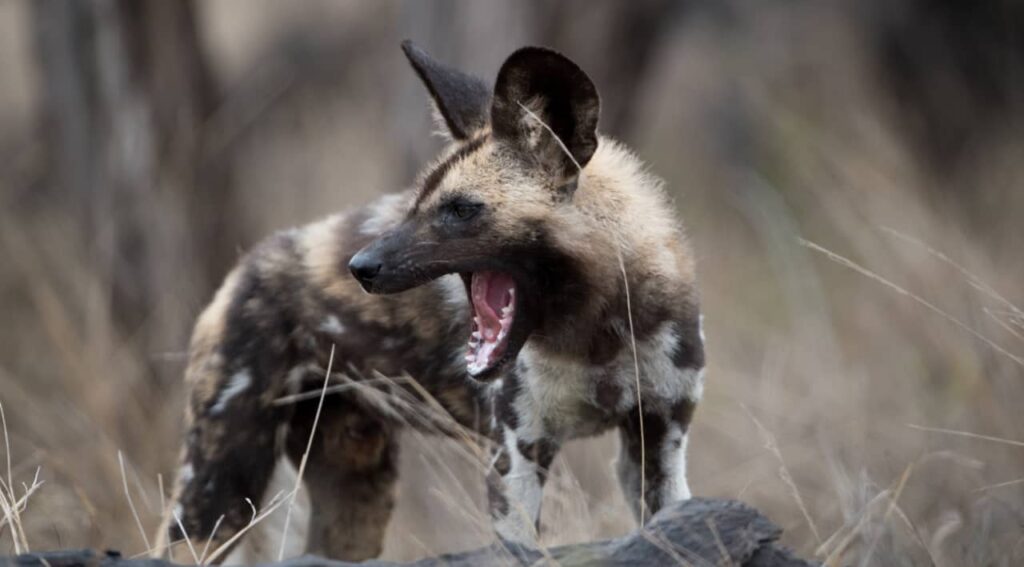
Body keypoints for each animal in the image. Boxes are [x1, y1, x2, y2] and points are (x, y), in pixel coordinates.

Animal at [159, 41, 704, 556]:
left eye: (460, 210)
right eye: (416, 202)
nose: (360, 267)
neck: (600, 333)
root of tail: (245, 266)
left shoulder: (659, 443)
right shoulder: (517, 456)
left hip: (355, 492)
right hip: (218, 490)